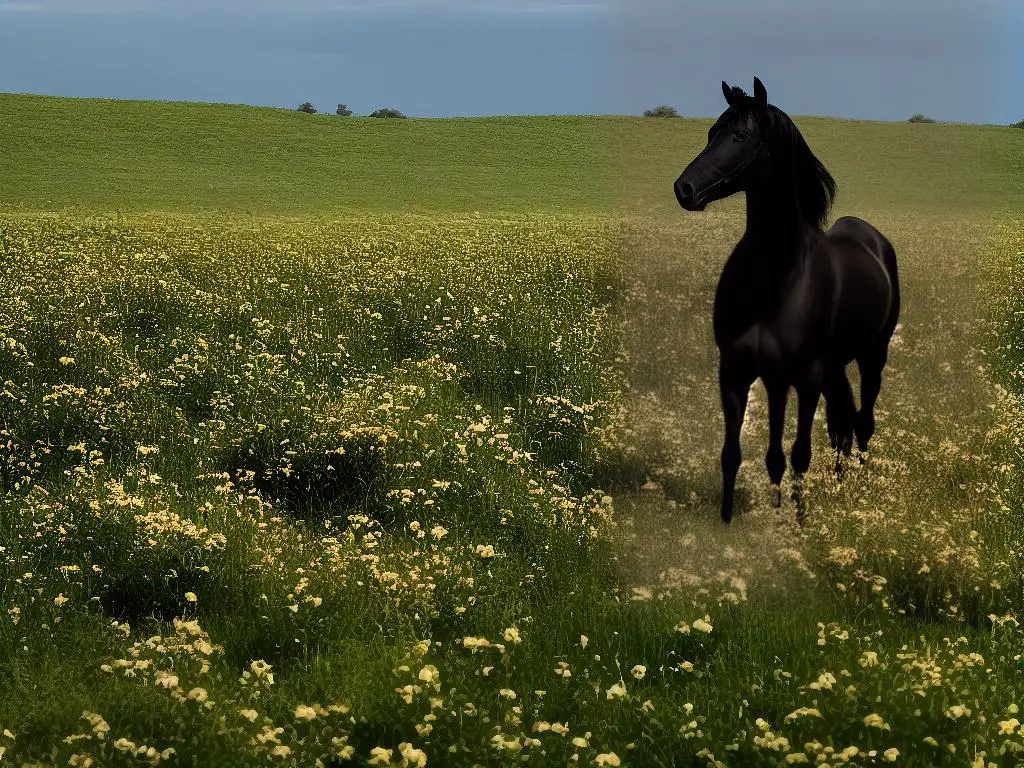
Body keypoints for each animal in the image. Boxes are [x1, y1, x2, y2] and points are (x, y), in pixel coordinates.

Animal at [675, 78, 901, 524]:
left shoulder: (807, 377)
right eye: (711, 133)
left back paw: (860, 490)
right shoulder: (736, 370)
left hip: (872, 355)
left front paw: (798, 520)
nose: (684, 189)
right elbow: (736, 454)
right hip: (818, 370)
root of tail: (875, 241)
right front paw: (729, 520)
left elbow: (799, 453)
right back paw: (838, 482)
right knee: (841, 425)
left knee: (863, 422)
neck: (775, 276)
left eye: (739, 135)